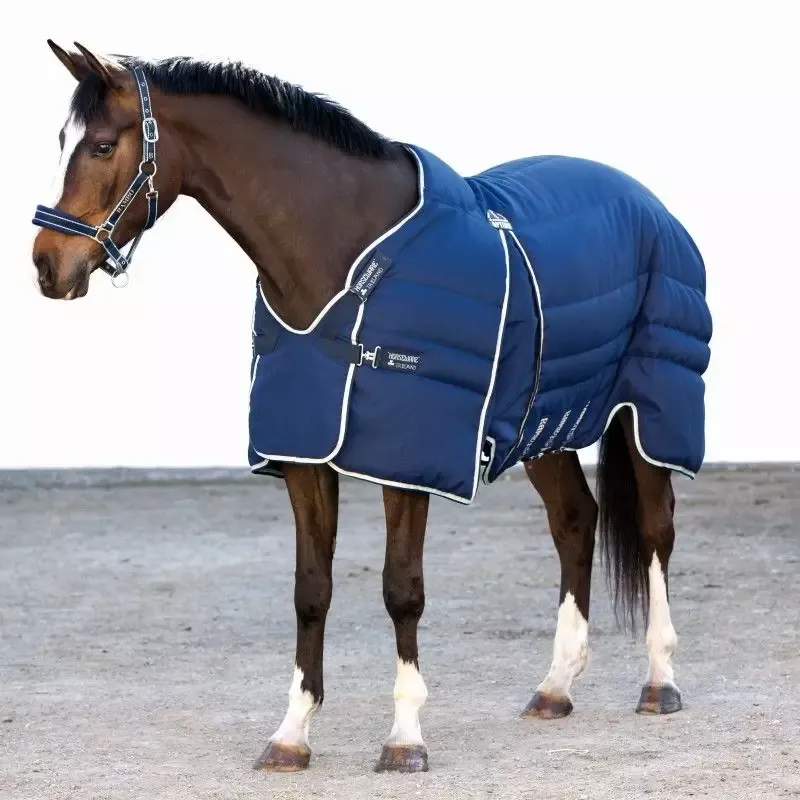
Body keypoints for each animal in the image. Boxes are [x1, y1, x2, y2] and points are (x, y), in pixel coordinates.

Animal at [30, 41, 712, 774]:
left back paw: (660, 682)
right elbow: (311, 591)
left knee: (655, 527)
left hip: (649, 411)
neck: (343, 259)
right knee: (576, 522)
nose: (47, 265)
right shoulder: (304, 455)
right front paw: (291, 735)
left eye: (103, 145)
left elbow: (401, 590)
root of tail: (649, 203)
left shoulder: (406, 463)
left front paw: (405, 738)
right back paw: (555, 688)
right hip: (544, 419)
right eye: (63, 140)